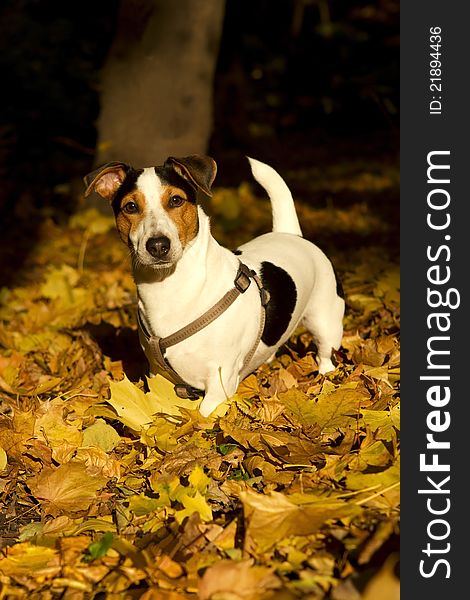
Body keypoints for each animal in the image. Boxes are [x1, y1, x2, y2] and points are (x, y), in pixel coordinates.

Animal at [84, 155, 344, 418]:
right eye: (130, 207)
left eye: (176, 200)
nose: (157, 245)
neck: (171, 289)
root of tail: (290, 234)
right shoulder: (158, 375)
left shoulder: (221, 384)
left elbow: (202, 415)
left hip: (325, 321)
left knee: (325, 353)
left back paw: (326, 375)